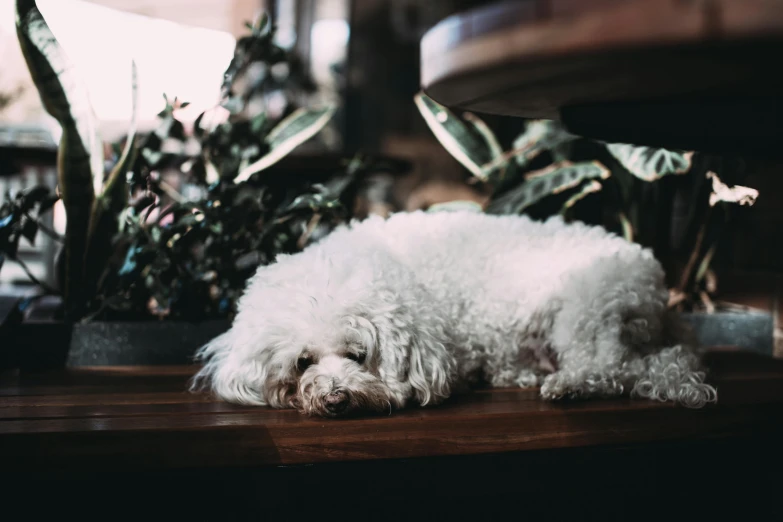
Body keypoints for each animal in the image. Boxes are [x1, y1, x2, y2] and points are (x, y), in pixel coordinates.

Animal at [193, 209, 720, 416]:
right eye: (303, 362)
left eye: (359, 355)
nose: (336, 398)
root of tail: (654, 282)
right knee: (654, 364)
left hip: (586, 309)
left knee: (617, 368)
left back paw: (567, 386)